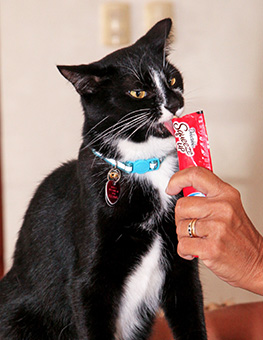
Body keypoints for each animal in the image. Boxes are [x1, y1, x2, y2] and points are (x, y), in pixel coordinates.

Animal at [0, 19, 207, 340]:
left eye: (172, 80)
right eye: (138, 93)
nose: (174, 102)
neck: (146, 165)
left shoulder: (181, 266)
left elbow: (191, 316)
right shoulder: (88, 281)